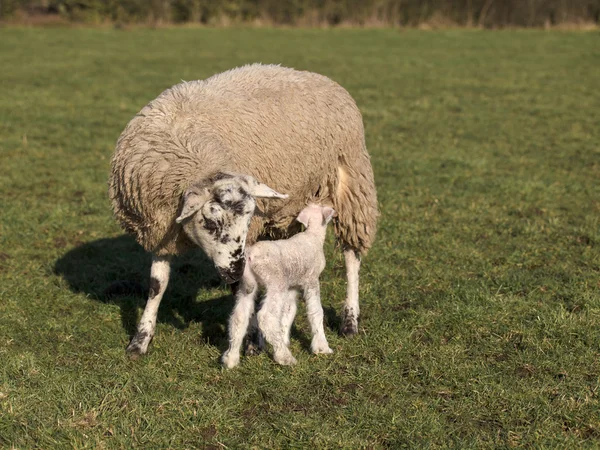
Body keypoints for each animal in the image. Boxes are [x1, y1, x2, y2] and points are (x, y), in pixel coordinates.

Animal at [221, 206, 336, 368]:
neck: (313, 236)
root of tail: (250, 256)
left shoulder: (292, 286)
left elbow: (289, 311)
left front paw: (284, 337)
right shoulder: (312, 281)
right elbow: (316, 312)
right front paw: (322, 348)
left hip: (247, 285)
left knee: (239, 317)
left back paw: (231, 358)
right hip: (276, 282)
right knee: (266, 317)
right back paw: (284, 357)